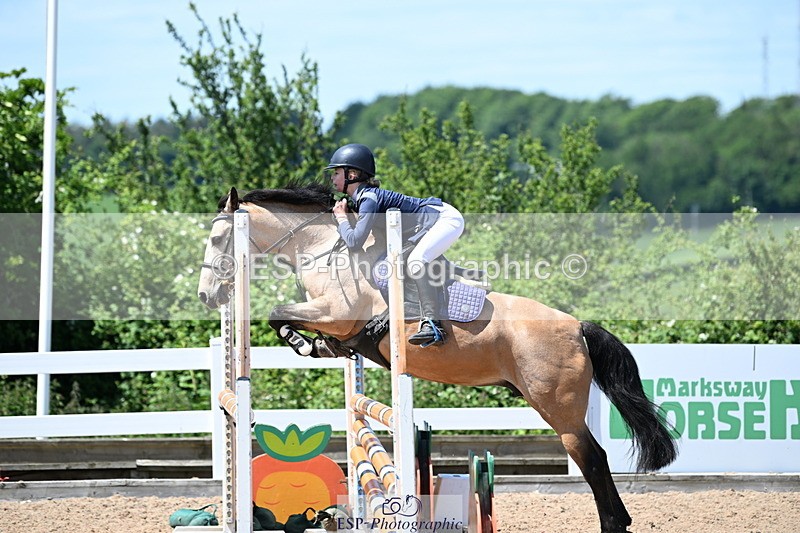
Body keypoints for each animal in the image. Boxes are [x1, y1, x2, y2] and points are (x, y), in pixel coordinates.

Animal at [197, 183, 678, 533]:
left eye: (219, 238)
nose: (207, 296)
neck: (323, 248)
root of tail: (577, 326)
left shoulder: (337, 313)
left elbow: (278, 312)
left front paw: (301, 343)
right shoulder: (335, 322)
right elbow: (300, 325)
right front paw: (316, 347)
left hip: (558, 407)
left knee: (592, 458)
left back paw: (614, 524)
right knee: (595, 457)